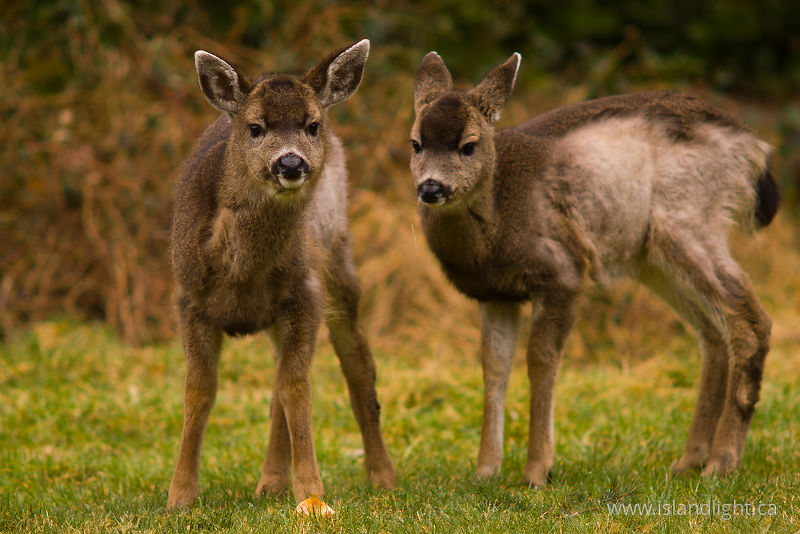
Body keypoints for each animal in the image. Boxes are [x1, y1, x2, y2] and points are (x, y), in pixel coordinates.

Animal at [167, 40, 396, 509]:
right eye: (255, 127)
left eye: (311, 124)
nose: (290, 163)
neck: (239, 274)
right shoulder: (189, 299)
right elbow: (198, 392)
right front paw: (179, 495)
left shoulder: (303, 295)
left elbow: (297, 390)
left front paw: (311, 491)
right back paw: (271, 481)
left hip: (337, 265)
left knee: (358, 365)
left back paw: (381, 475)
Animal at [409, 51, 779, 488]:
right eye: (415, 143)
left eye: (469, 146)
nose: (431, 187)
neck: (500, 220)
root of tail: (755, 147)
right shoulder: (496, 293)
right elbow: (494, 367)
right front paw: (486, 470)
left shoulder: (563, 272)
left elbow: (541, 362)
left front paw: (537, 471)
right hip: (653, 257)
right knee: (712, 334)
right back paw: (688, 461)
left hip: (689, 219)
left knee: (751, 321)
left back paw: (721, 463)